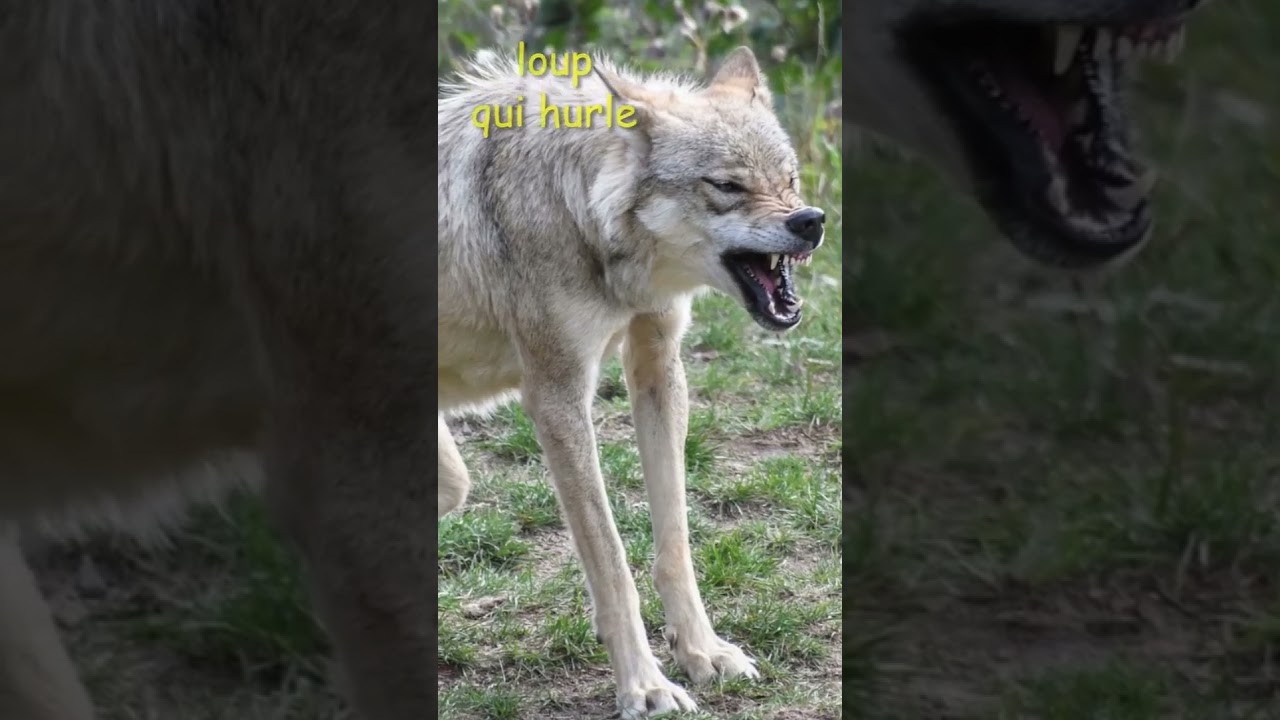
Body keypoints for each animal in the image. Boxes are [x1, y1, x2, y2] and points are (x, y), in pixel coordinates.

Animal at [437, 47, 824, 717]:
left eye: (790, 180)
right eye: (727, 186)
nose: (810, 221)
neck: (580, 213)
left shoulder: (658, 367)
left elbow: (675, 542)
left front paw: (702, 652)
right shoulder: (556, 396)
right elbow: (612, 558)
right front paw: (645, 685)